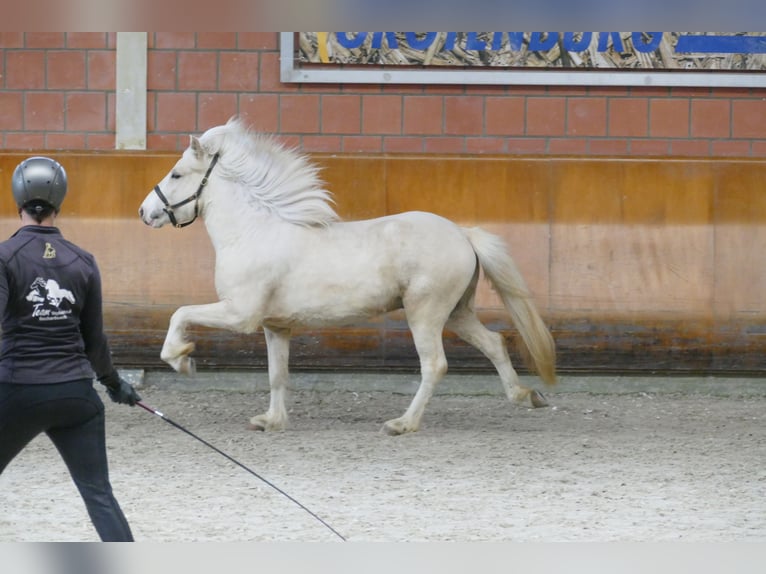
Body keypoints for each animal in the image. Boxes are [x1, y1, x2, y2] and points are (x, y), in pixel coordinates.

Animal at [138, 117, 557, 436]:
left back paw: (402, 424)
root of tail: (463, 234)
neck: (254, 231)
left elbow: (180, 313)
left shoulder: (239, 314)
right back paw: (526, 396)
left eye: (177, 174)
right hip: (457, 312)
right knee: (494, 343)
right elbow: (277, 374)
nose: (144, 212)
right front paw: (271, 421)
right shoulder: (275, 326)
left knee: (435, 365)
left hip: (425, 313)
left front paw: (182, 360)